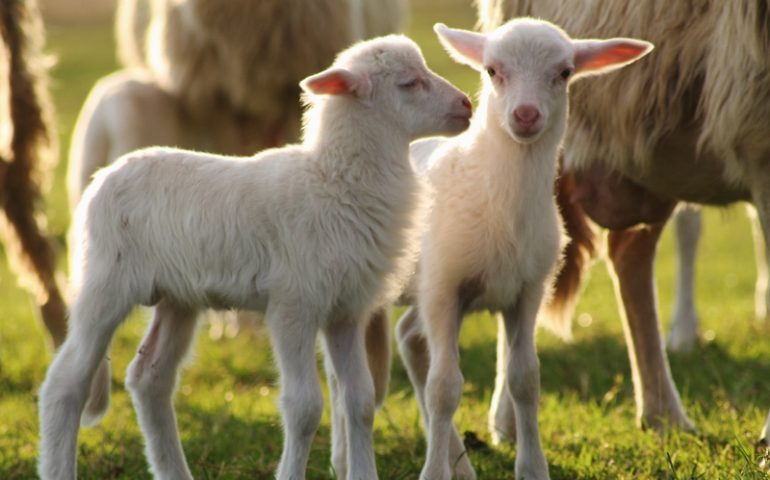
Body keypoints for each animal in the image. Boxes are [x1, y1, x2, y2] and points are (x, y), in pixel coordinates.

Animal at [37, 35, 474, 480]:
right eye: (409, 83)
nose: (467, 105)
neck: (334, 180)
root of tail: (105, 176)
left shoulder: (346, 311)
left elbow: (361, 401)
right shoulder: (293, 306)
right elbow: (304, 407)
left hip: (178, 297)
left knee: (150, 380)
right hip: (104, 282)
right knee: (65, 383)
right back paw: (59, 463)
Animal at [392, 18, 652, 480]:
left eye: (564, 73)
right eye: (493, 70)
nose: (526, 114)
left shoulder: (527, 291)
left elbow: (524, 379)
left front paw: (532, 466)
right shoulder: (443, 287)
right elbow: (445, 387)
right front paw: (433, 472)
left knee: (408, 338)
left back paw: (460, 462)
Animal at [480, 0, 768, 438]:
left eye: (564, 72)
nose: (526, 114)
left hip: (649, 149)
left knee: (630, 255)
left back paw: (664, 415)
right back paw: (507, 421)